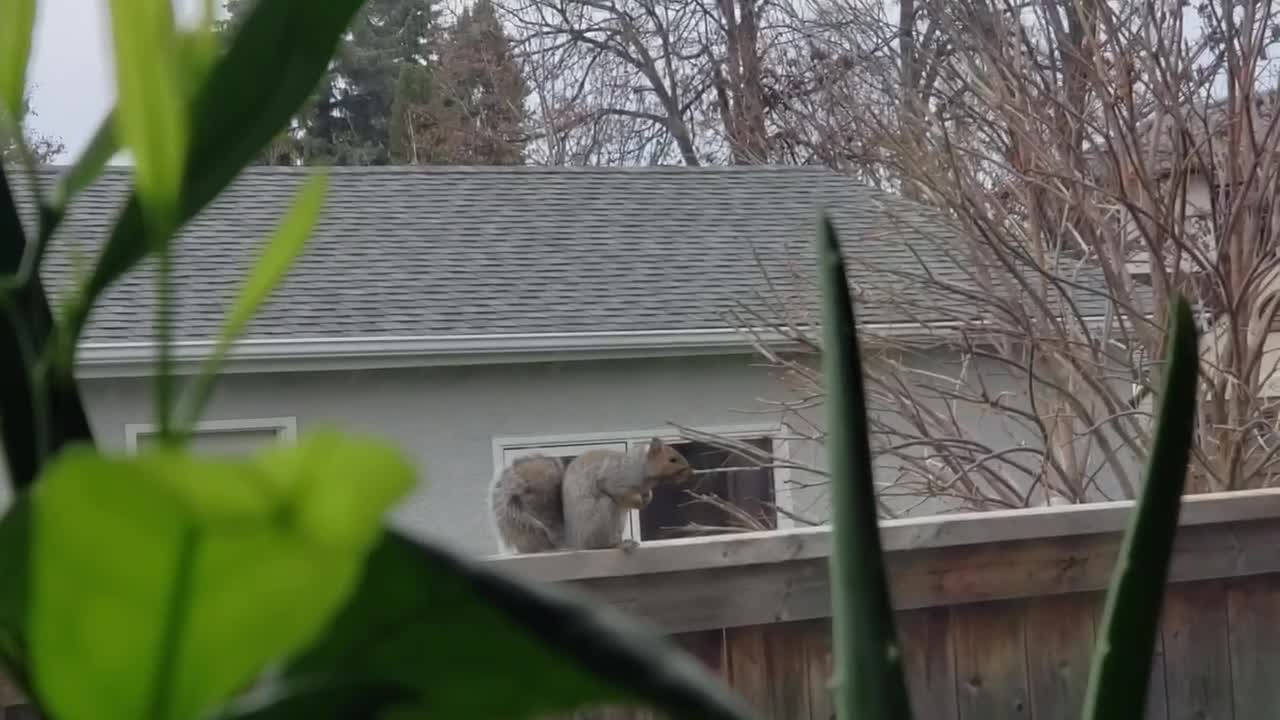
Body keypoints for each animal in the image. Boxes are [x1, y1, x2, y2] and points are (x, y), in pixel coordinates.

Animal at [486, 435, 691, 550]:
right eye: (672, 459)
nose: (691, 471)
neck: (640, 468)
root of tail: (573, 542)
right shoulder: (615, 476)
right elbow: (614, 490)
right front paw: (638, 502)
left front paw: (647, 498)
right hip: (602, 516)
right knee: (597, 544)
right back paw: (615, 544)